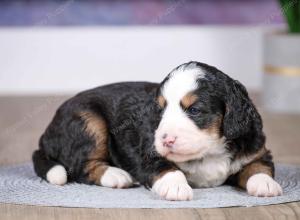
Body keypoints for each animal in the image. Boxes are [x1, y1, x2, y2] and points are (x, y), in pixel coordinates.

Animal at [32, 61, 282, 200]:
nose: (166, 139)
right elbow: (166, 167)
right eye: (160, 110)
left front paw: (265, 184)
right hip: (89, 120)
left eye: (194, 110)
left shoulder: (256, 148)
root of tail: (45, 135)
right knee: (81, 167)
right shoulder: (147, 152)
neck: (209, 152)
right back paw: (116, 176)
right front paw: (176, 187)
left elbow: (259, 166)